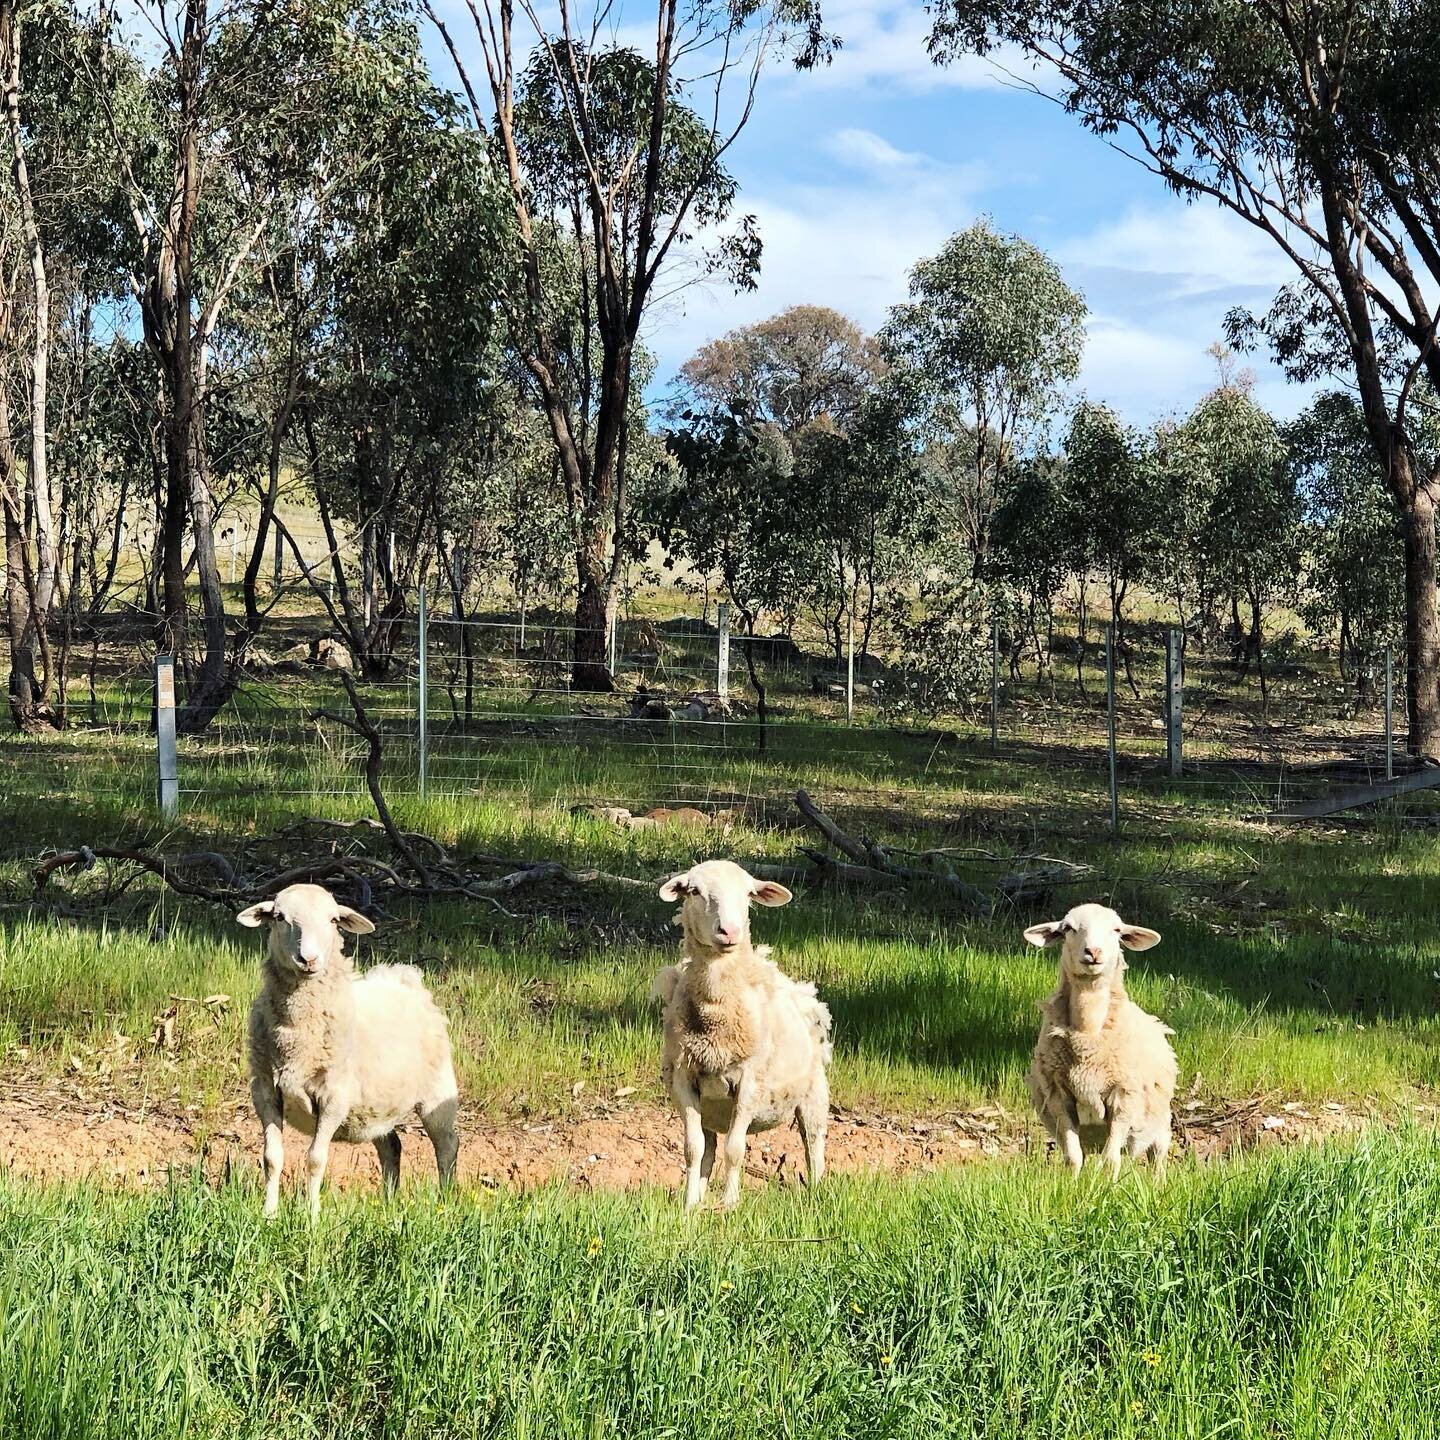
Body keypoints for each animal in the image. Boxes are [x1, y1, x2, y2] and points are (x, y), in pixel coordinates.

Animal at [239, 881, 457, 1209]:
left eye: (332, 920)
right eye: (279, 917)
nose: (308, 959)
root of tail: (404, 977)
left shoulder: (333, 1098)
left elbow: (315, 1159)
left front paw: (311, 1213)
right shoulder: (266, 1092)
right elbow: (271, 1158)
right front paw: (269, 1212)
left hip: (438, 1091)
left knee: (446, 1144)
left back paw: (445, 1201)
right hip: (376, 1108)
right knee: (391, 1146)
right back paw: (388, 1203)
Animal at [653, 858, 835, 1209]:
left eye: (749, 894)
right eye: (694, 891)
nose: (730, 931)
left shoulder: (749, 1083)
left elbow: (735, 1149)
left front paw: (729, 1204)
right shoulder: (684, 1079)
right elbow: (692, 1149)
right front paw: (688, 1207)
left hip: (814, 1093)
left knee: (814, 1144)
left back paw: (817, 1194)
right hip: (711, 1112)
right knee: (708, 1151)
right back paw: (700, 1199)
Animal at [1019, 898, 1175, 1180]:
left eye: (1117, 930)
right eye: (1068, 928)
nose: (1093, 952)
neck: (1088, 1033)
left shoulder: (1123, 1098)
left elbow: (1111, 1160)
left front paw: (1109, 1185)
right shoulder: (1059, 1096)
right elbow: (1072, 1157)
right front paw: (1071, 1184)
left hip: (1159, 1123)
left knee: (1157, 1158)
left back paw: (1158, 1182)